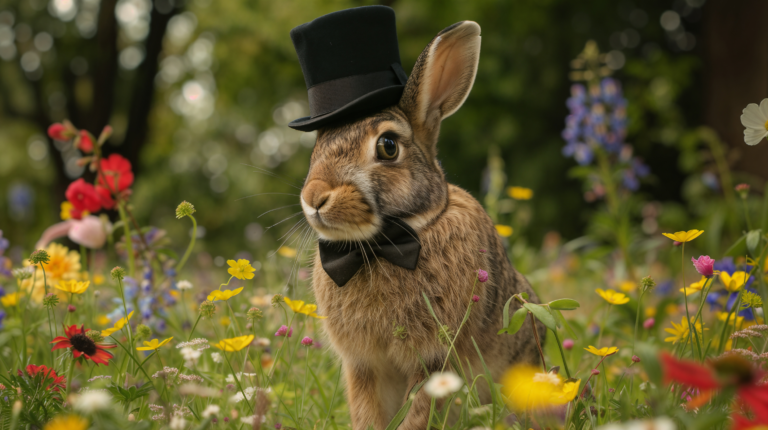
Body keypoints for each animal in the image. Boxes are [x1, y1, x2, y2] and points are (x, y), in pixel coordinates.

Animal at [299, 20, 543, 430]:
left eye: (388, 146)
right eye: (318, 147)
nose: (314, 197)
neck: (383, 246)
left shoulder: (435, 359)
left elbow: (418, 413)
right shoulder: (362, 366)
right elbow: (366, 411)